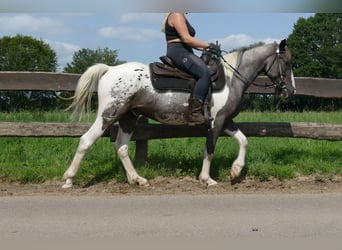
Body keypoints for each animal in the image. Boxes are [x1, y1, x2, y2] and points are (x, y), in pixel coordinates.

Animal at [62, 38, 296, 188]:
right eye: (286, 62)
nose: (291, 91)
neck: (232, 79)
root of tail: (110, 69)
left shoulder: (226, 120)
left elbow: (244, 140)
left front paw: (235, 171)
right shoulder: (217, 121)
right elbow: (210, 149)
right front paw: (207, 179)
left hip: (129, 117)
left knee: (121, 147)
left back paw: (138, 179)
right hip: (109, 113)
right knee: (86, 140)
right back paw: (69, 179)